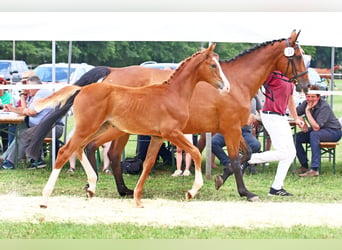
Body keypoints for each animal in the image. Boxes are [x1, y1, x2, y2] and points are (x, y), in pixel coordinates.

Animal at [35, 44, 230, 208]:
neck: (172, 94)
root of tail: (81, 89)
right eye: (213, 65)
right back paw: (45, 198)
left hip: (100, 128)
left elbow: (148, 164)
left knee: (81, 147)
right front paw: (191, 192)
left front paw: (137, 198)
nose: (227, 87)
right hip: (88, 127)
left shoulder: (158, 136)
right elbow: (195, 152)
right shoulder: (172, 133)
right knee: (64, 151)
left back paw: (91, 186)